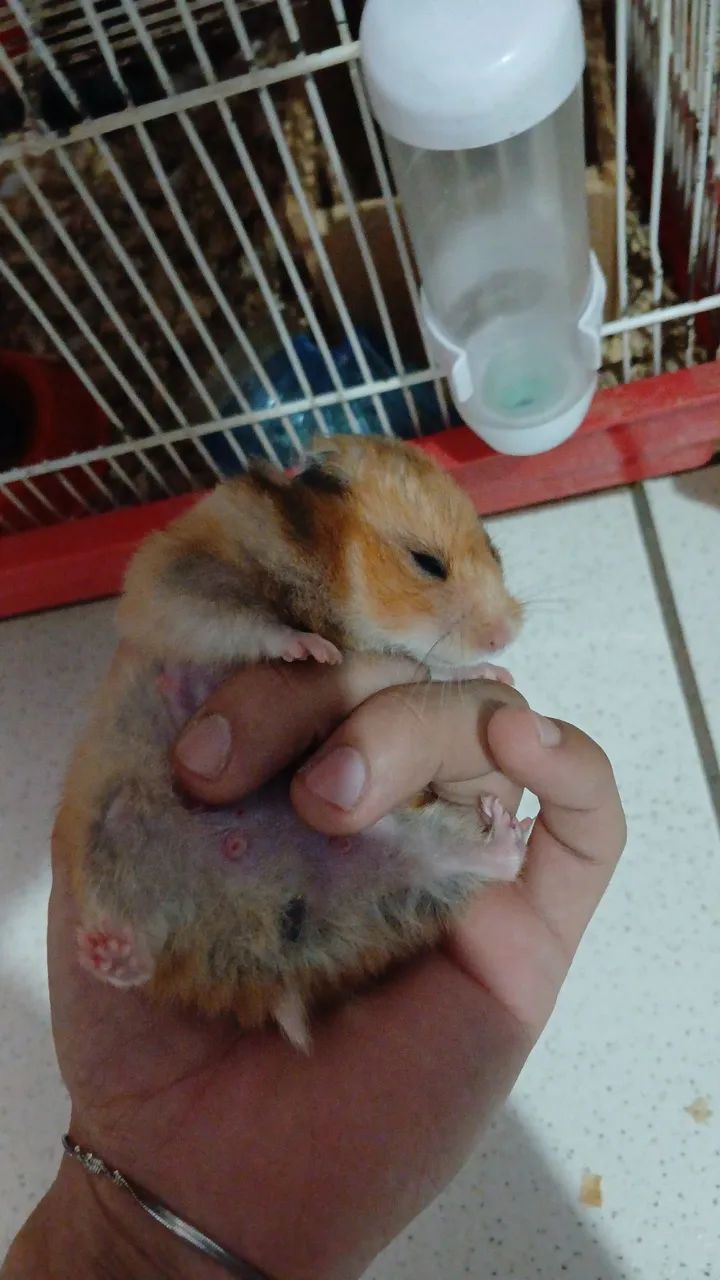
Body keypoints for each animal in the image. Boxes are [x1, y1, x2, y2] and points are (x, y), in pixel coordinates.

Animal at [58, 435, 526, 1050]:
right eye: (426, 563)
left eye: (496, 552)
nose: (506, 636)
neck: (335, 573)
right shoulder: (184, 582)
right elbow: (253, 626)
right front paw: (315, 652)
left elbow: (429, 669)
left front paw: (497, 675)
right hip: (110, 841)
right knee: (134, 933)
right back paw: (107, 952)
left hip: (398, 863)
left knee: (470, 861)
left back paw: (505, 827)